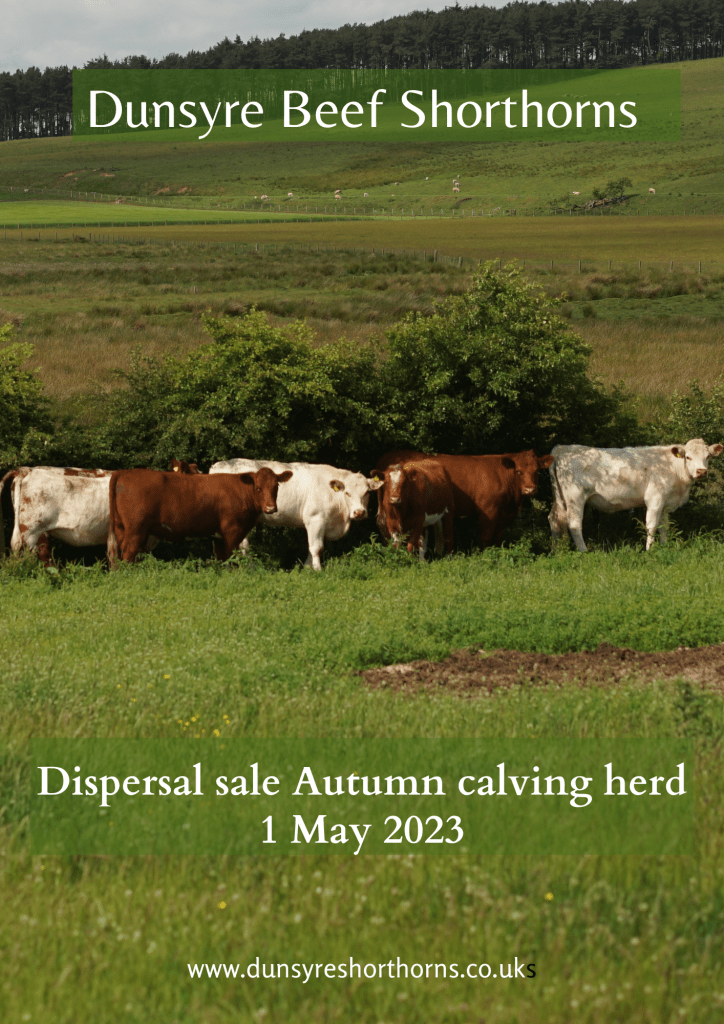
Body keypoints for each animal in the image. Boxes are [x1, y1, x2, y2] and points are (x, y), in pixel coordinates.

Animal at [107, 467, 292, 565]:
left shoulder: (219, 537)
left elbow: (221, 559)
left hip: (123, 528)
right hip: (135, 530)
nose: (270, 508)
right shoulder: (231, 532)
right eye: (258, 488)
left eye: (276, 486)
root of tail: (124, 472)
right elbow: (229, 558)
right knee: (128, 554)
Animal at [209, 459, 383, 569]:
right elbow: (316, 547)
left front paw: (306, 568)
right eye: (347, 493)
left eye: (367, 492)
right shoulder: (315, 519)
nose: (359, 512)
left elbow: (312, 548)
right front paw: (318, 570)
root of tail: (218, 466)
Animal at [376, 449, 554, 550]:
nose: (529, 489)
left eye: (537, 471)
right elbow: (486, 538)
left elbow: (497, 539)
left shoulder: (502, 517)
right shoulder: (488, 513)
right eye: (518, 471)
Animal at [548, 439, 723, 552]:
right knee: (574, 524)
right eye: (688, 457)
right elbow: (652, 526)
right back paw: (583, 551)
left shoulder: (666, 503)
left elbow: (664, 526)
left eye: (708, 456)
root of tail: (562, 448)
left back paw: (558, 551)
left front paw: (665, 546)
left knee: (555, 520)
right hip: (575, 498)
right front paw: (649, 550)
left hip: (560, 498)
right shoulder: (655, 499)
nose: (701, 471)